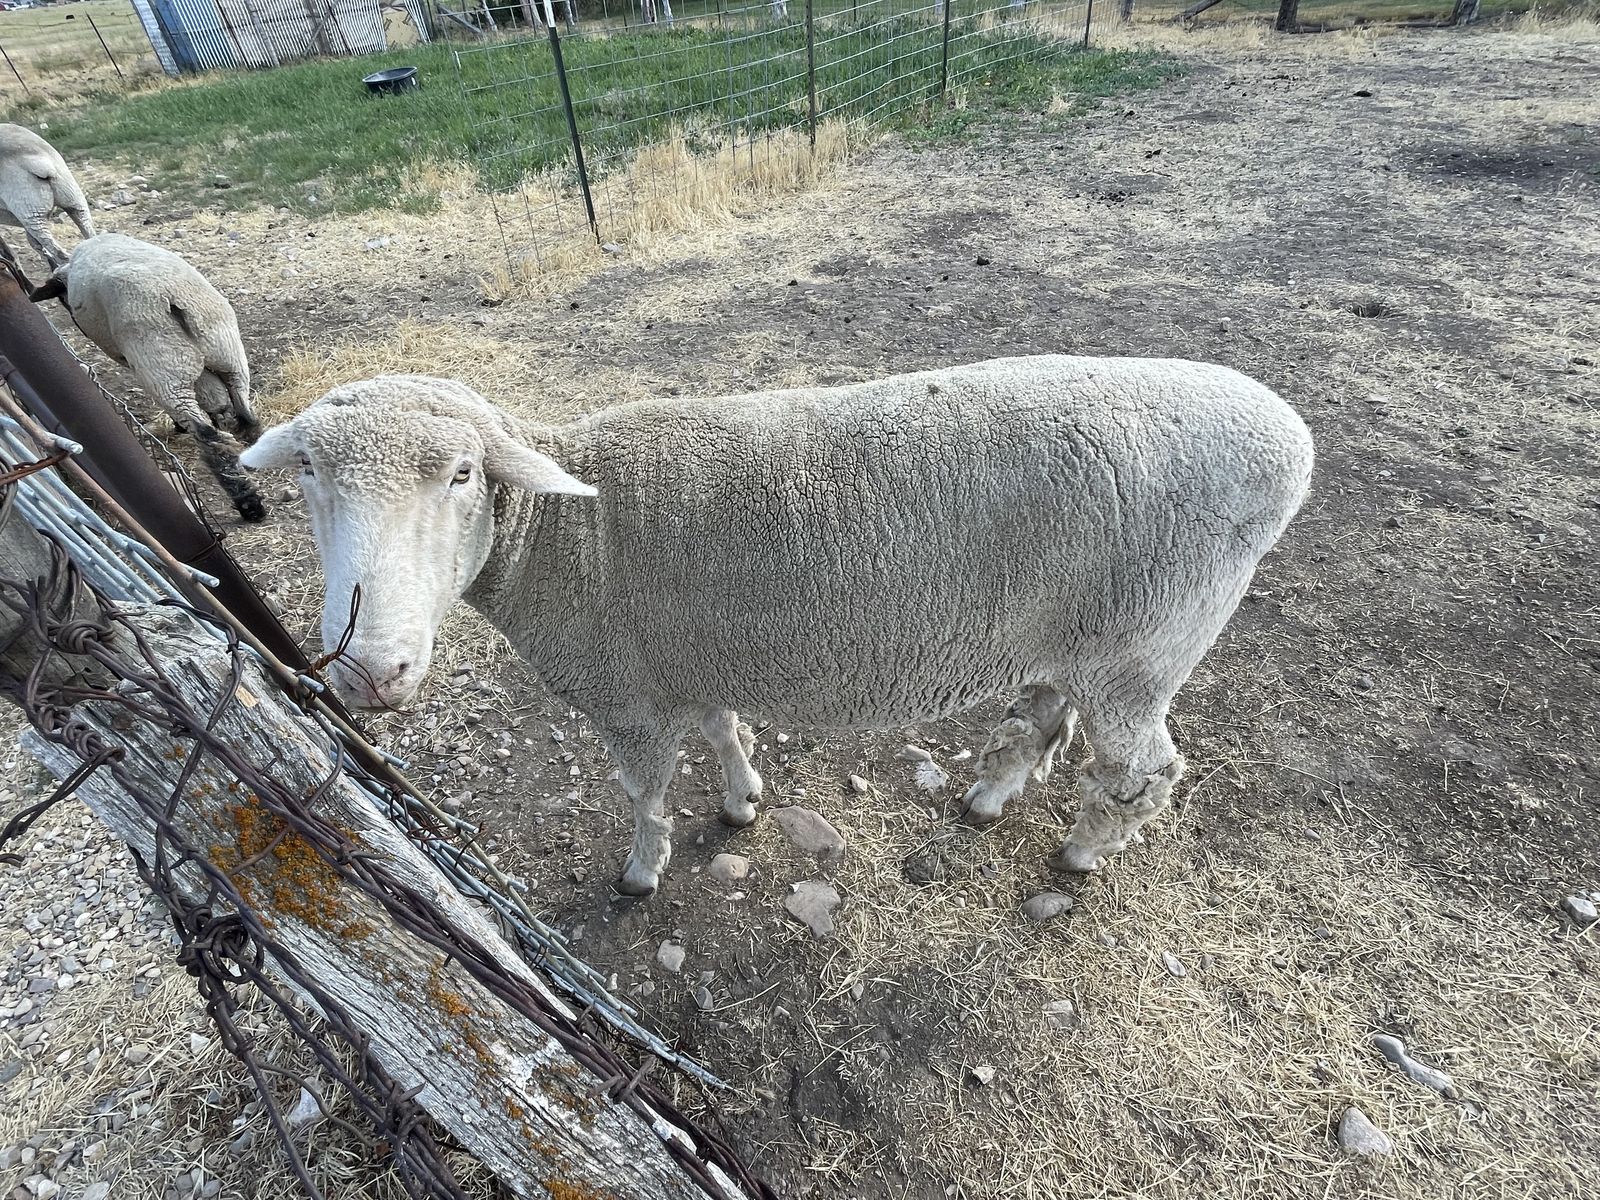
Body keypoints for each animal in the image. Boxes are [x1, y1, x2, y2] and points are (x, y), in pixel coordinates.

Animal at [31, 233, 265, 523]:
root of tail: (173, 298)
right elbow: (216, 401)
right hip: (226, 353)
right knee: (245, 410)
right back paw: (251, 446)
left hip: (163, 369)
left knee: (209, 436)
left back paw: (249, 503)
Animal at [240, 359, 1314, 895]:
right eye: (309, 478)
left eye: (462, 475)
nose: (370, 670)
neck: (561, 535)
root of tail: (1292, 444)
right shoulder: (681, 661)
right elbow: (722, 733)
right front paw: (743, 802)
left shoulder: (624, 694)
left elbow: (644, 795)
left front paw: (641, 873)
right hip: (1076, 635)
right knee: (1043, 717)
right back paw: (988, 798)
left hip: (1147, 643)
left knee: (1143, 773)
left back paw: (1084, 854)